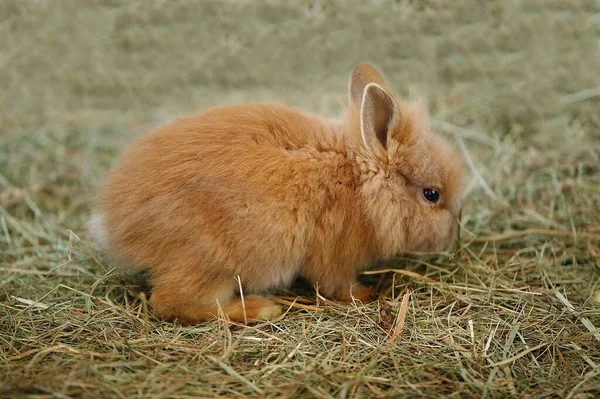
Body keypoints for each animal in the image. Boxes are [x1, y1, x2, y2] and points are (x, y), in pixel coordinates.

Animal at [88, 63, 464, 324]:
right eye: (432, 194)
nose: (451, 236)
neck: (358, 181)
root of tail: (115, 226)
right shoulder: (334, 258)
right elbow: (337, 286)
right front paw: (367, 294)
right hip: (211, 263)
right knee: (172, 304)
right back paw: (259, 309)